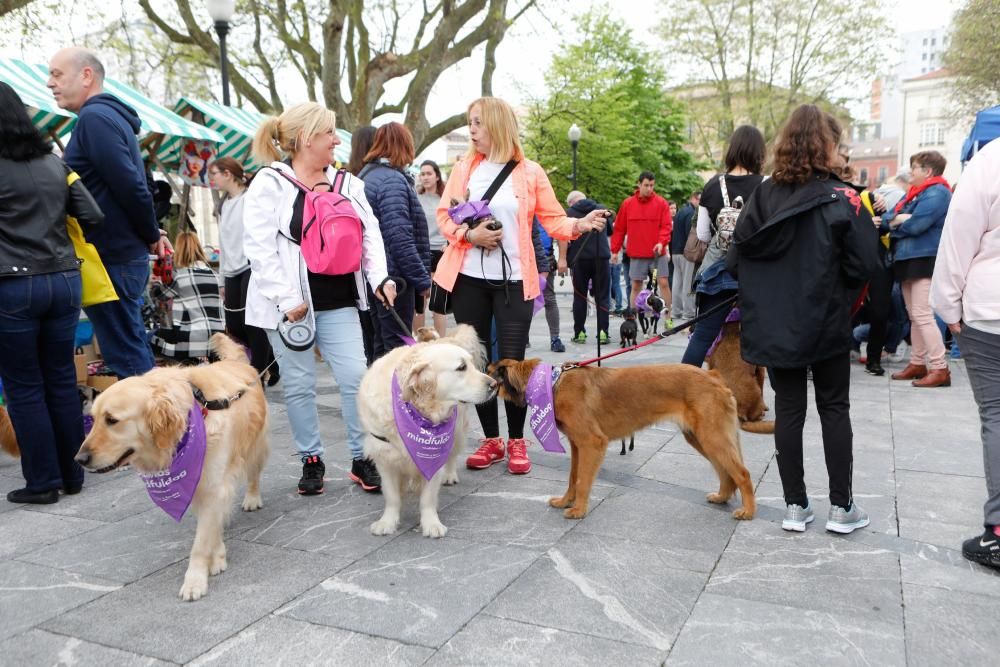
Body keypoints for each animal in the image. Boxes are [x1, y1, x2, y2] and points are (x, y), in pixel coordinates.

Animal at [74, 336, 270, 604]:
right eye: (93, 419)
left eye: (112, 420)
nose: (79, 459)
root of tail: (237, 362)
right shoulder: (197, 484)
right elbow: (209, 527)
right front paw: (217, 555)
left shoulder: (213, 483)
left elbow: (200, 542)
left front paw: (195, 581)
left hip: (253, 448)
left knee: (253, 474)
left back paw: (252, 498)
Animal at [362, 326, 498, 540]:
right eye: (461, 367)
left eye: (470, 365)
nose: (495, 385)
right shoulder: (384, 456)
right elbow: (392, 496)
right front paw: (387, 522)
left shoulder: (434, 455)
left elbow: (427, 498)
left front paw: (431, 524)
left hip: (457, 430)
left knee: (452, 454)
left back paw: (449, 475)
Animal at [488, 360, 752, 520]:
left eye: (489, 372)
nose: (486, 384)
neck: (553, 383)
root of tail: (714, 376)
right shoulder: (577, 446)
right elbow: (573, 478)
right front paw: (565, 502)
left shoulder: (592, 443)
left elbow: (583, 481)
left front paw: (579, 510)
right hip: (701, 438)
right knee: (726, 472)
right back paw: (722, 497)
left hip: (712, 437)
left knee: (742, 473)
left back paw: (748, 512)